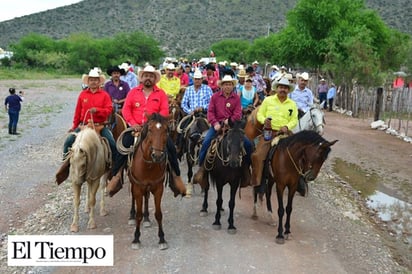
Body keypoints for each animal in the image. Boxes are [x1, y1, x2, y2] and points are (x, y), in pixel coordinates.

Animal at [126, 112, 170, 249]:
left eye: (166, 130)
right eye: (150, 130)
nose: (157, 155)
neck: (149, 165)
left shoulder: (158, 188)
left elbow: (159, 214)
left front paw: (162, 239)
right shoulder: (138, 188)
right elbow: (138, 215)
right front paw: (136, 239)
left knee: (146, 198)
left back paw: (146, 218)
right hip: (133, 184)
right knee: (133, 198)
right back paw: (131, 216)